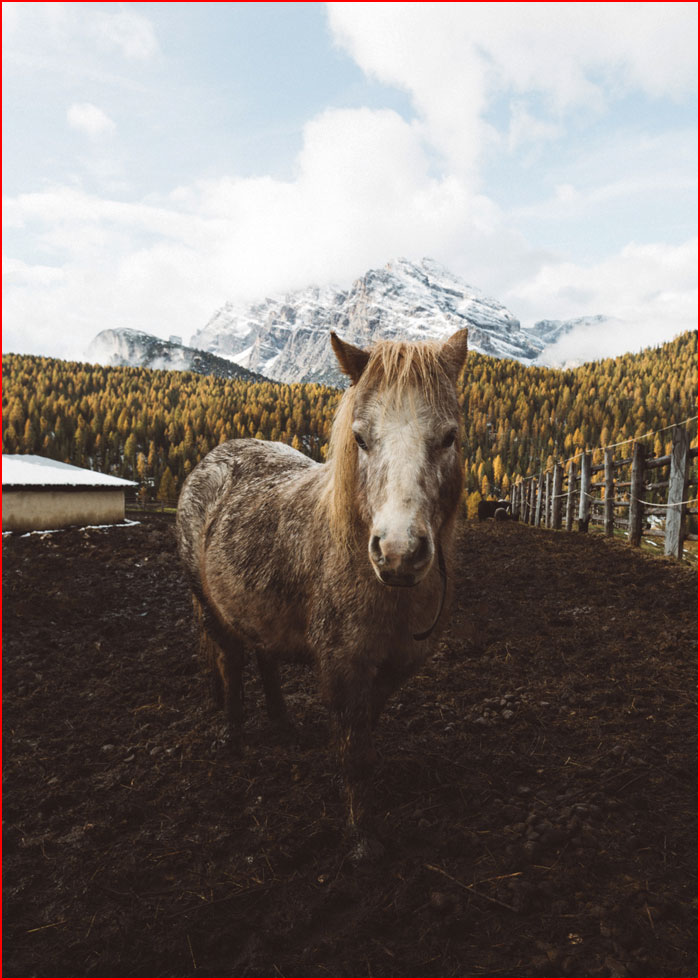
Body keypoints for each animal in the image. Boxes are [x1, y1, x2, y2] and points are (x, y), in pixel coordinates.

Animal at [175, 330, 468, 848]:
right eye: (360, 438)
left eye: (449, 436)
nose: (398, 552)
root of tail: (211, 460)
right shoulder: (341, 666)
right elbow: (355, 753)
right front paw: (363, 840)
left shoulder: (394, 667)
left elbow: (366, 733)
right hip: (212, 610)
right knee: (231, 663)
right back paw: (233, 735)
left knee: (264, 657)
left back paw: (284, 725)